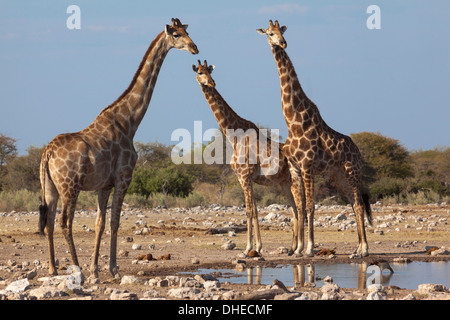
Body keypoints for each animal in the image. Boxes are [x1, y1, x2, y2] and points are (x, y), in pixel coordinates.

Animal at [37, 18, 200, 280]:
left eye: (187, 31)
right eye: (176, 34)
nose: (195, 47)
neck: (129, 121)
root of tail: (47, 153)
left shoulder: (104, 185)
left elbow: (100, 223)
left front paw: (96, 269)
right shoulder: (124, 178)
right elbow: (115, 222)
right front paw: (112, 269)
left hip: (50, 187)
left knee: (50, 220)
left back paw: (53, 268)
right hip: (70, 186)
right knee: (64, 222)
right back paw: (77, 269)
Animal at [191, 59, 300, 255]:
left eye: (209, 71)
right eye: (200, 72)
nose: (211, 83)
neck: (234, 136)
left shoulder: (244, 175)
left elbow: (250, 210)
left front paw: (251, 247)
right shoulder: (245, 177)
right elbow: (253, 209)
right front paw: (256, 246)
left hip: (295, 180)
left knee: (303, 208)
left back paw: (300, 248)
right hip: (284, 182)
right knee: (295, 209)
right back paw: (292, 248)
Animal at [256, 20, 372, 256]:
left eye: (281, 31)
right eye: (270, 33)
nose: (283, 42)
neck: (292, 121)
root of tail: (358, 151)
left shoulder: (307, 166)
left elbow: (310, 206)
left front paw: (309, 248)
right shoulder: (295, 168)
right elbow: (300, 207)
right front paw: (299, 249)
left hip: (352, 171)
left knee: (358, 204)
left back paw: (364, 249)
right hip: (339, 176)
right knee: (353, 204)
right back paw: (357, 248)